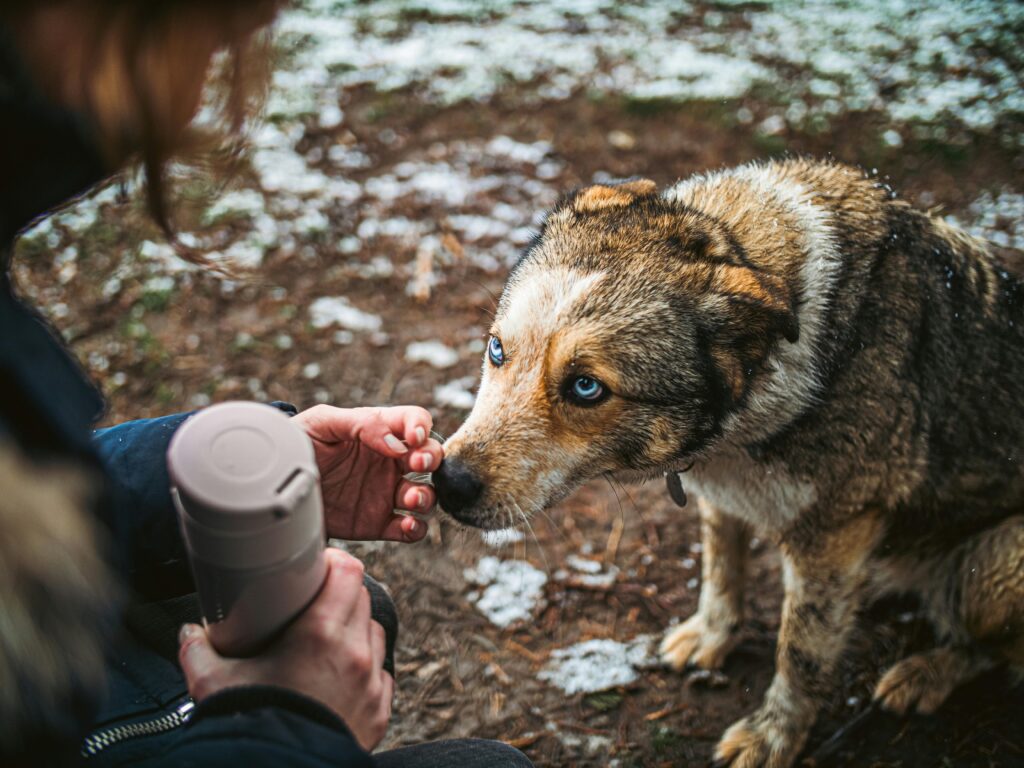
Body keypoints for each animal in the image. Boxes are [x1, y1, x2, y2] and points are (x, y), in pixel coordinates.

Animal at [434, 156, 1024, 768]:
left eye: (585, 387)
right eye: (496, 350)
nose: (445, 483)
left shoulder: (833, 536)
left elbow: (801, 652)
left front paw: (772, 737)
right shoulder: (721, 496)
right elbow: (721, 571)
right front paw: (711, 637)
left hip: (994, 570)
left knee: (992, 651)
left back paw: (924, 673)